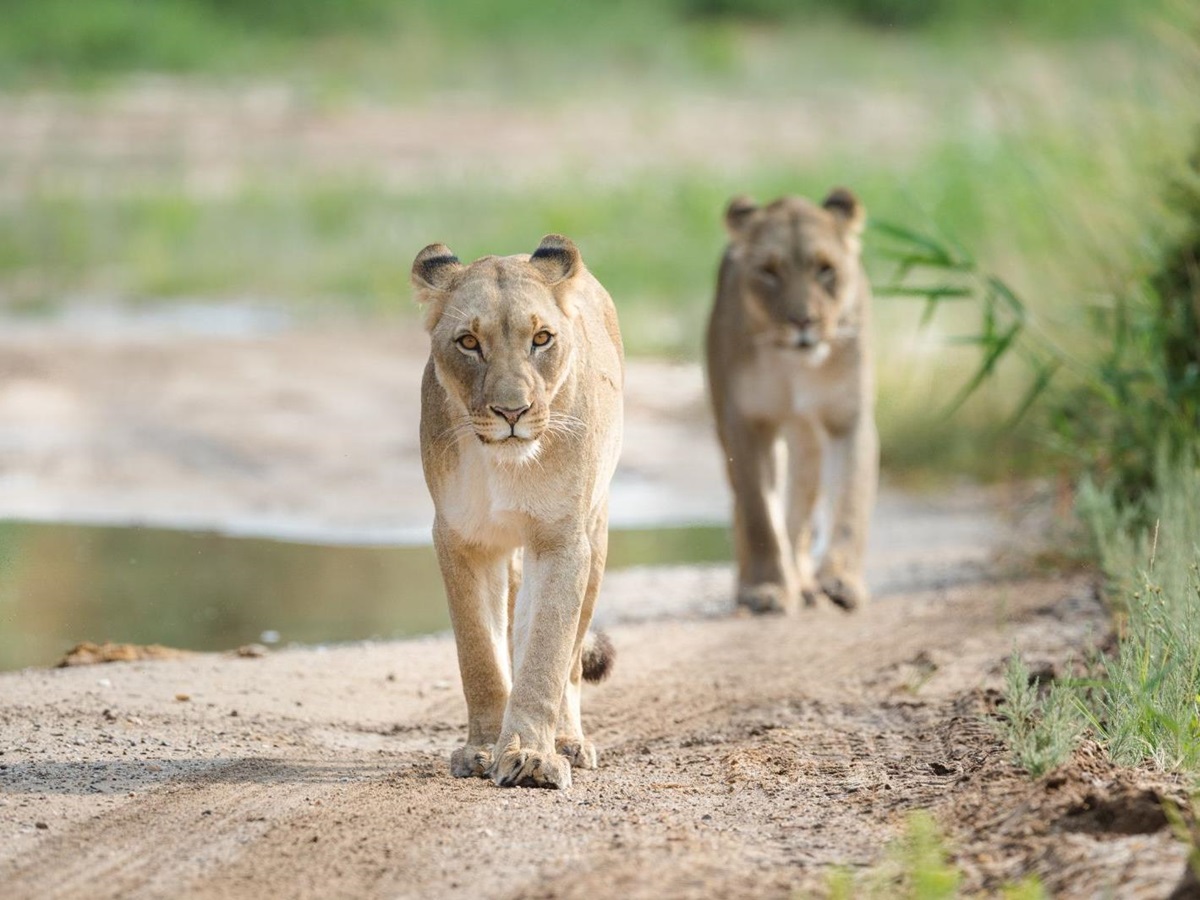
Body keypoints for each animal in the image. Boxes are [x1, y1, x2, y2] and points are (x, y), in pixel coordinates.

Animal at [412, 234, 623, 789]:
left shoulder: (562, 538)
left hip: (596, 534)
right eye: (468, 343)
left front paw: (530, 755)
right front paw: (484, 748)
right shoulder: (461, 539)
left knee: (570, 659)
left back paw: (567, 740)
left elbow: (547, 649)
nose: (513, 412)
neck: (507, 466)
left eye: (542, 339)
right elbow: (480, 654)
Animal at [705, 188, 877, 614]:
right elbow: (759, 513)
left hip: (807, 440)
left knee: (802, 511)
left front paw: (841, 582)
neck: (796, 367)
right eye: (769, 271)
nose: (803, 321)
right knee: (747, 510)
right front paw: (766, 589)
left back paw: (805, 582)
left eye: (825, 269)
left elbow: (850, 501)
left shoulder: (848, 418)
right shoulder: (746, 422)